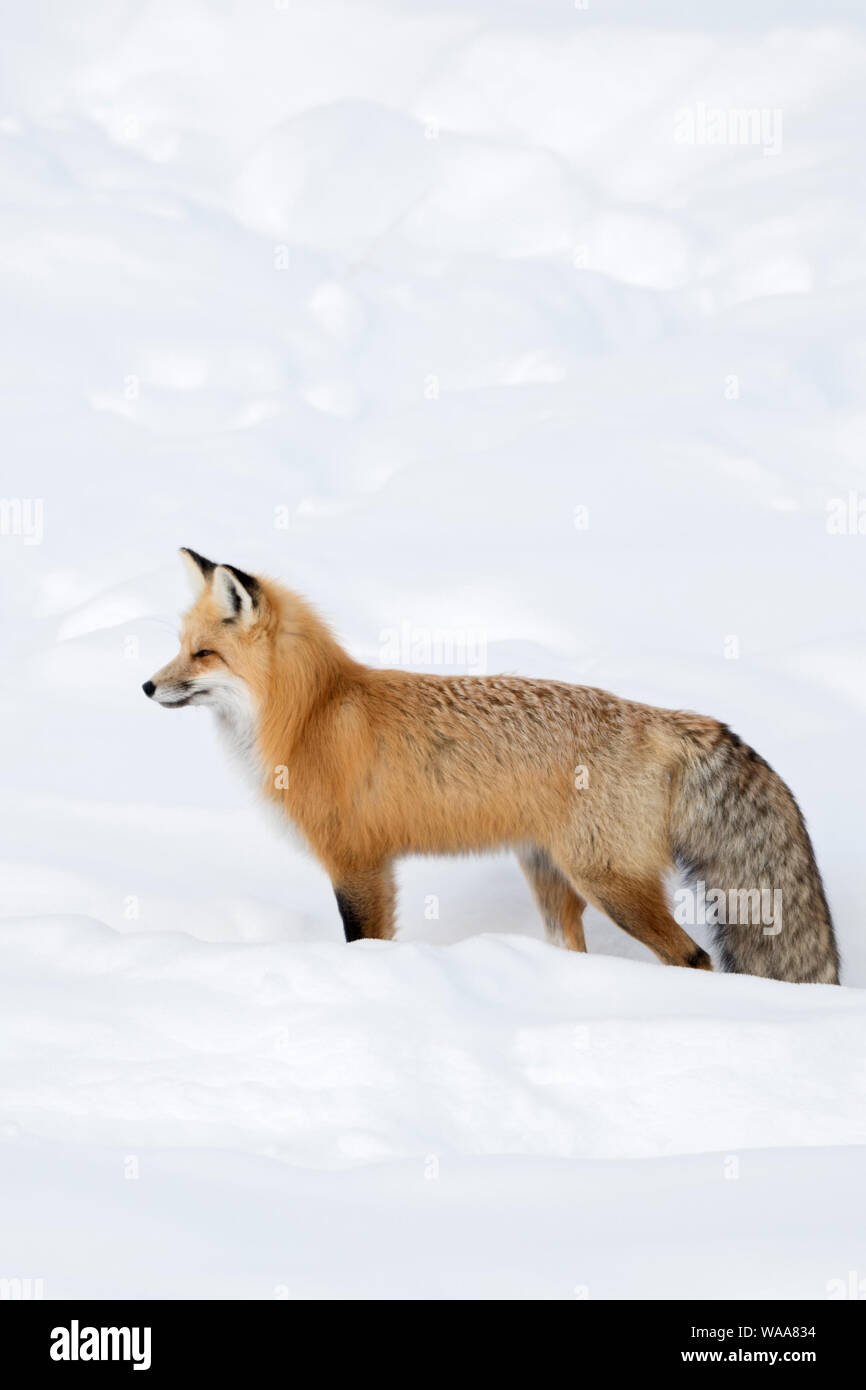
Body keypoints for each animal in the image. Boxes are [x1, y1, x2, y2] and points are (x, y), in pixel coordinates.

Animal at [142, 547, 839, 984]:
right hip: (551, 876)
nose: (146, 687)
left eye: (203, 655)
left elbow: (365, 942)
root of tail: (657, 716)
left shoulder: (358, 861)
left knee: (694, 959)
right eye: (179, 648)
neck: (310, 711)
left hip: (610, 882)